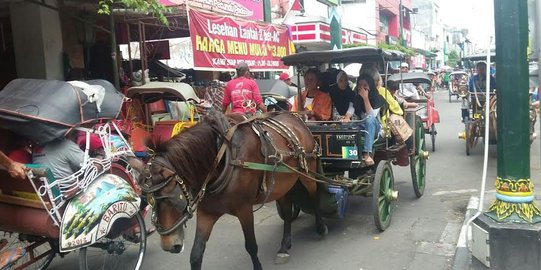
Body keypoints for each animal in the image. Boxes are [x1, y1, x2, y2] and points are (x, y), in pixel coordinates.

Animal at [129, 110, 326, 268]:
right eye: (148, 200)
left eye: (172, 197)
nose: (169, 245)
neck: (223, 158)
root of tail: (297, 119)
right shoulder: (206, 213)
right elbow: (196, 254)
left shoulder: (244, 209)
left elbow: (251, 246)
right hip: (281, 185)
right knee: (286, 212)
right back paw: (284, 246)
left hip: (308, 173)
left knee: (315, 197)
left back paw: (320, 227)